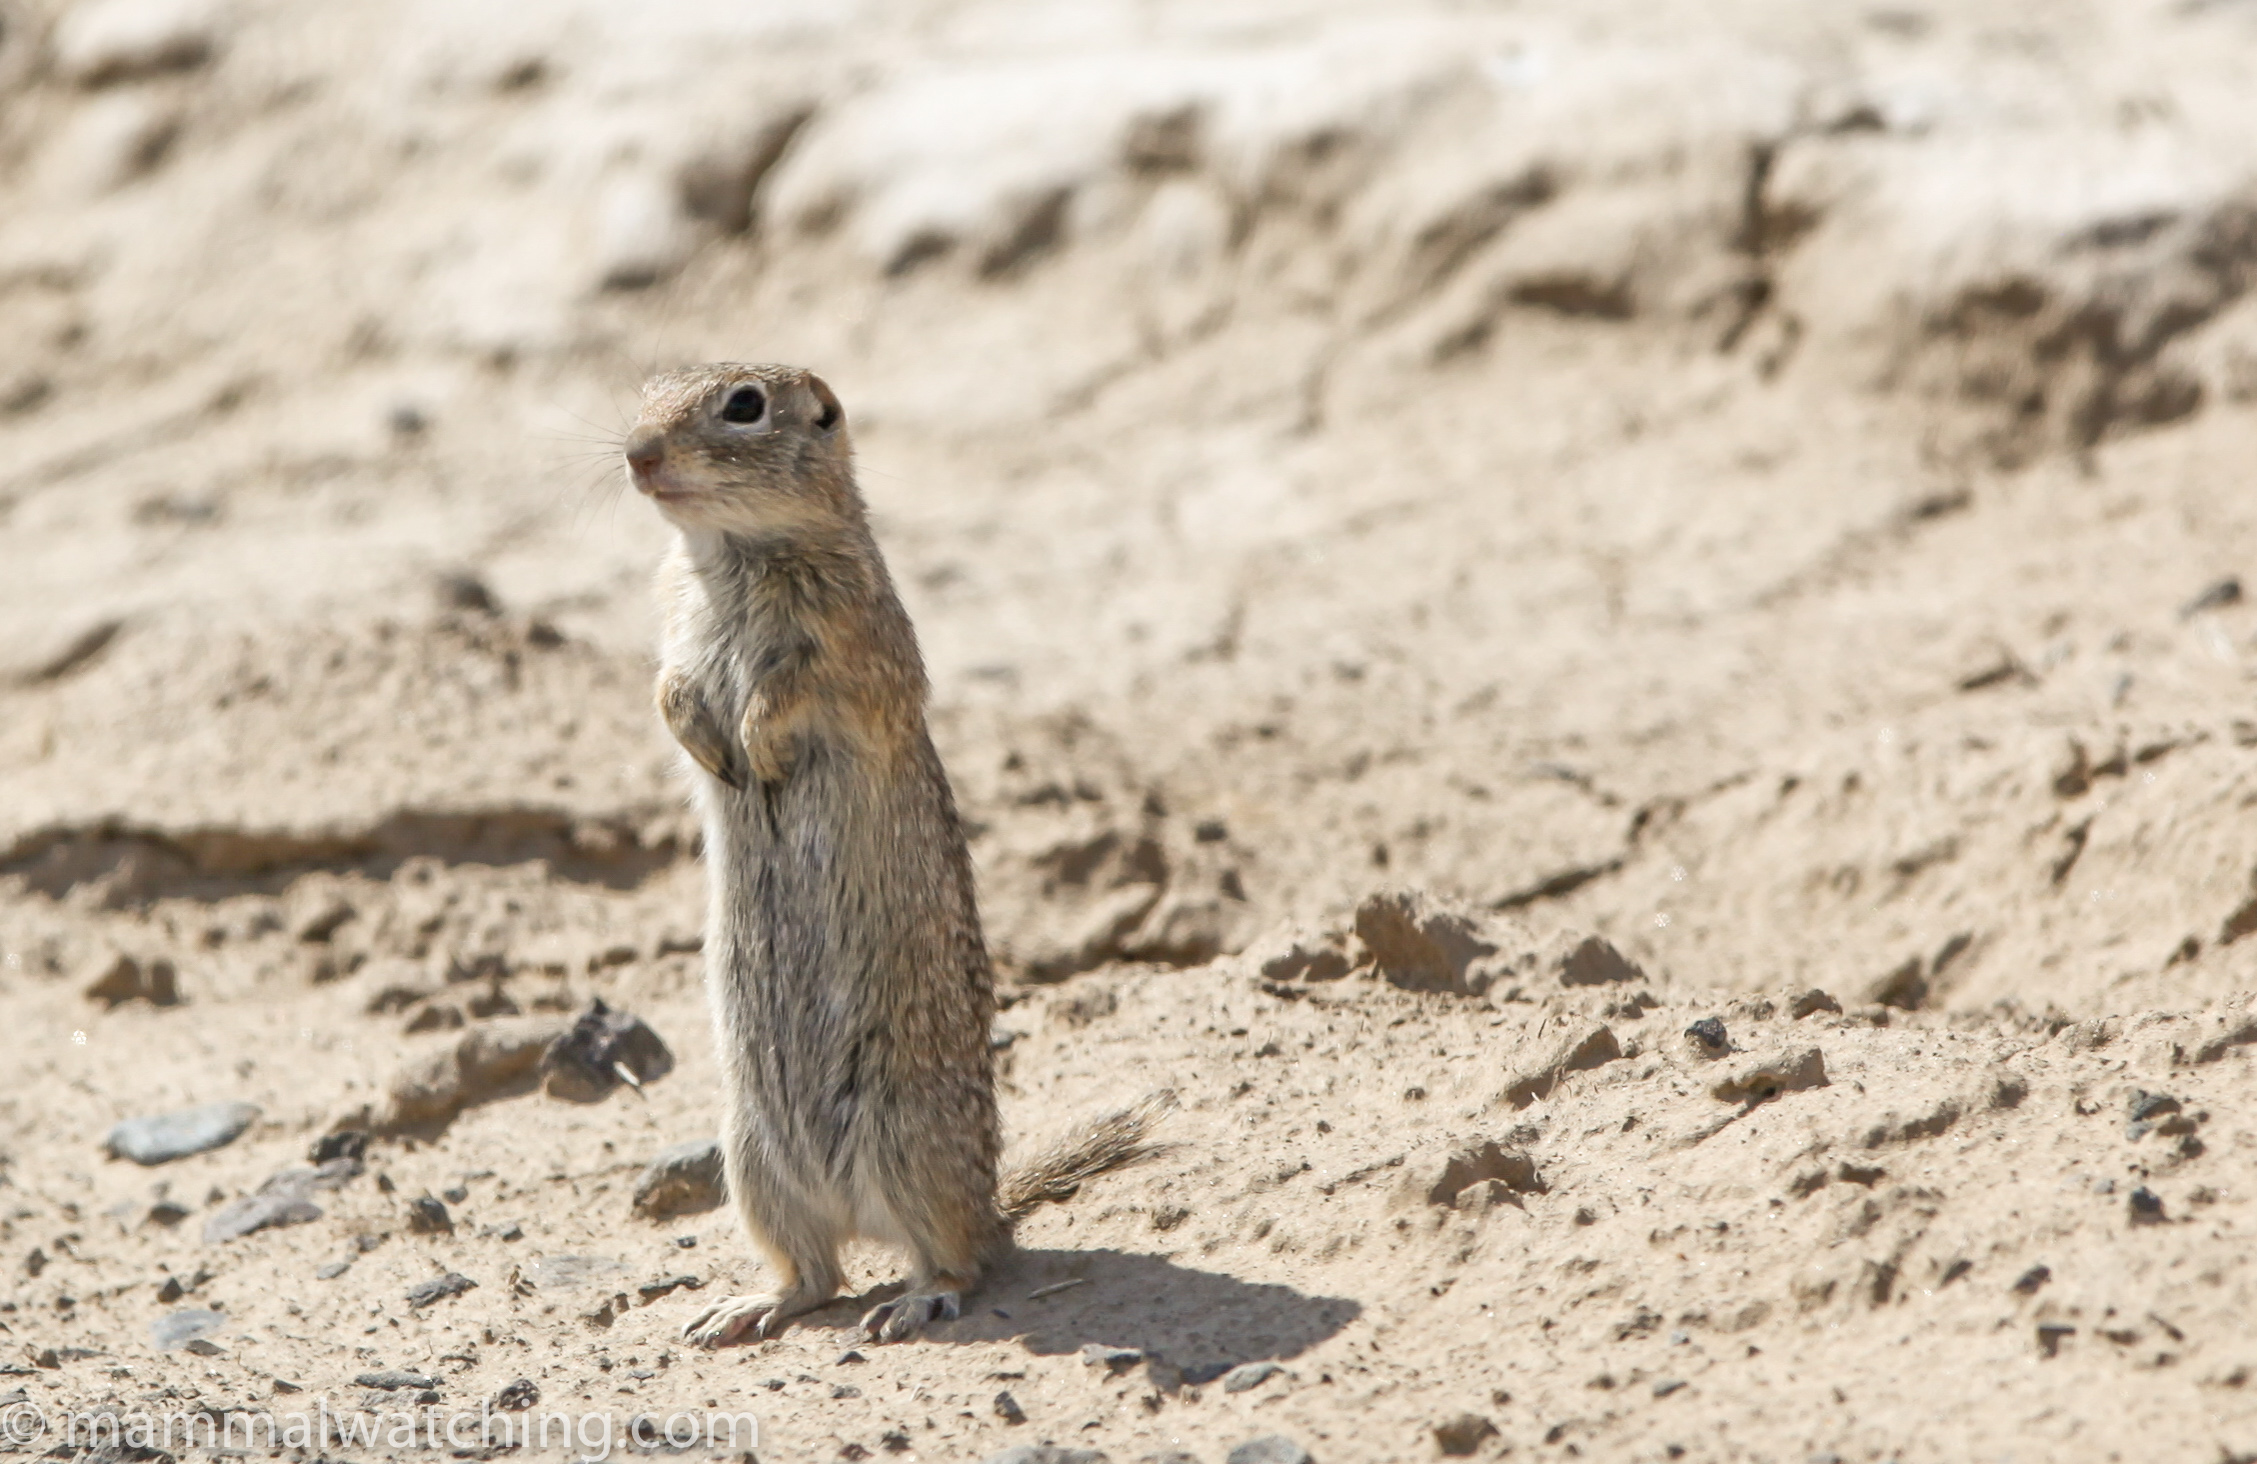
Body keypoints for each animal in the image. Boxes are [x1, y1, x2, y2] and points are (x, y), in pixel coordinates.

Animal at [631, 358, 1173, 1344]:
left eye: (744, 406)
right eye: (647, 390)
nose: (637, 455)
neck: (731, 553)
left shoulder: (855, 643)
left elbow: (795, 688)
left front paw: (757, 749)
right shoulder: (675, 635)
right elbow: (669, 689)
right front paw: (714, 749)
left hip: (904, 1141)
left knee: (955, 1260)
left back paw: (917, 1299)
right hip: (754, 1163)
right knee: (817, 1276)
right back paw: (743, 1308)